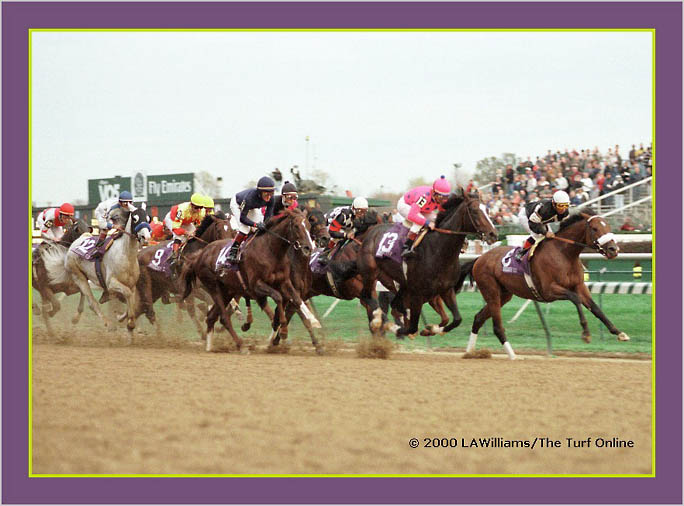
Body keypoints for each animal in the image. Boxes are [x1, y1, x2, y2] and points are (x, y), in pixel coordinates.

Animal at [181, 207, 318, 352]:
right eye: (296, 226)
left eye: (309, 226)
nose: (308, 247)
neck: (271, 251)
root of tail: (199, 256)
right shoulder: (256, 285)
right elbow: (278, 297)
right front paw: (283, 328)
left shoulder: (284, 282)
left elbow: (296, 299)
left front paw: (313, 320)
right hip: (213, 287)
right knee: (223, 317)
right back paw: (240, 345)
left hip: (227, 291)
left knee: (212, 317)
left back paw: (210, 346)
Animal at [356, 192, 499, 338]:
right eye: (474, 211)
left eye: (488, 210)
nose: (493, 234)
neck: (439, 250)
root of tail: (371, 232)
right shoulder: (417, 294)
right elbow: (411, 327)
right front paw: (396, 328)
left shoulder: (446, 289)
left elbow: (457, 319)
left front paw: (431, 329)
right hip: (370, 273)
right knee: (367, 296)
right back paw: (378, 319)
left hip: (393, 281)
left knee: (392, 303)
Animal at [454, 211, 628, 360]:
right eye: (594, 228)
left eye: (608, 227)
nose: (613, 249)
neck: (564, 254)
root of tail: (479, 258)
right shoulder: (549, 291)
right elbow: (575, 298)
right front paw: (586, 334)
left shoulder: (579, 286)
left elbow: (596, 308)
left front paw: (619, 333)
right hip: (491, 291)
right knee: (497, 326)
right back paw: (512, 356)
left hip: (503, 295)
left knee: (478, 318)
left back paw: (470, 353)